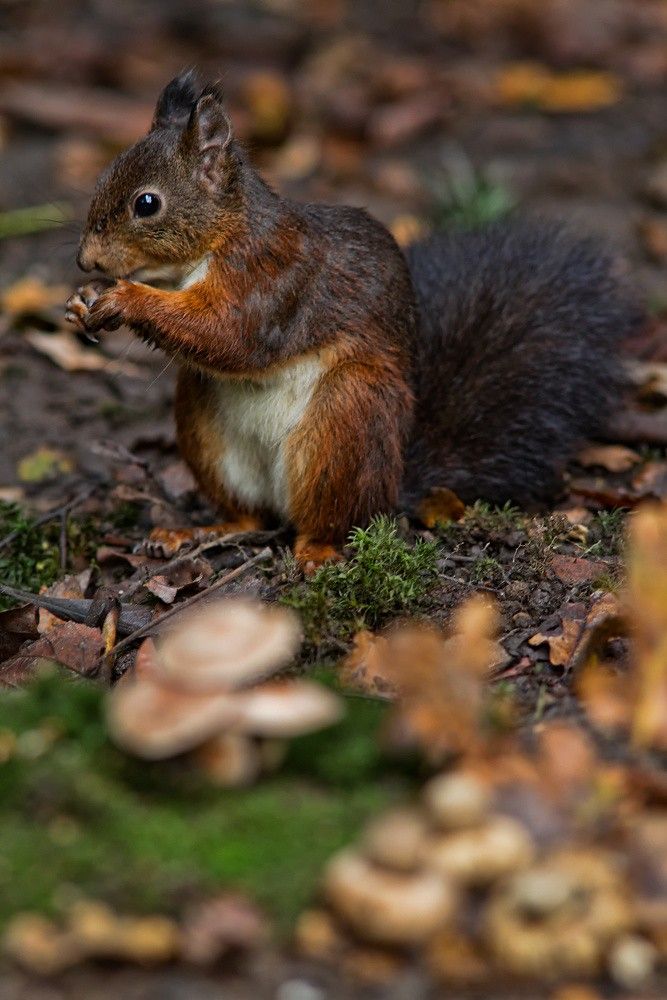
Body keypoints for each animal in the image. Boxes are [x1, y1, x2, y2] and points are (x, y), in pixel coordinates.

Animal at [65, 72, 644, 572]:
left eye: (147, 203)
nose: (86, 260)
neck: (219, 239)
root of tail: (394, 485)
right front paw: (84, 300)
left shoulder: (273, 279)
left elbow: (231, 335)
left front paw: (125, 299)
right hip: (205, 425)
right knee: (249, 516)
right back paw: (196, 531)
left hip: (347, 419)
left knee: (332, 519)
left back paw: (317, 552)